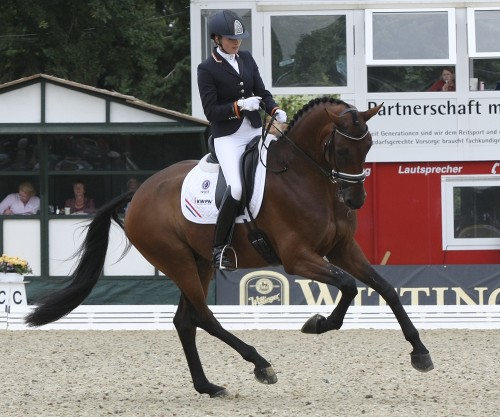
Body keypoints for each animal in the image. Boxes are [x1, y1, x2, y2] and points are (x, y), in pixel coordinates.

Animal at [25, 97, 434, 398]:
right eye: (342, 149)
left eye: (368, 146)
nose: (356, 199)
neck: (306, 177)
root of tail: (138, 191)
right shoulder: (298, 258)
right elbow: (349, 287)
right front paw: (318, 324)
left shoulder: (342, 250)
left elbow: (386, 288)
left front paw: (420, 352)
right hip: (176, 261)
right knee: (204, 317)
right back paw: (260, 364)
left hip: (199, 261)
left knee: (185, 321)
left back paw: (207, 386)